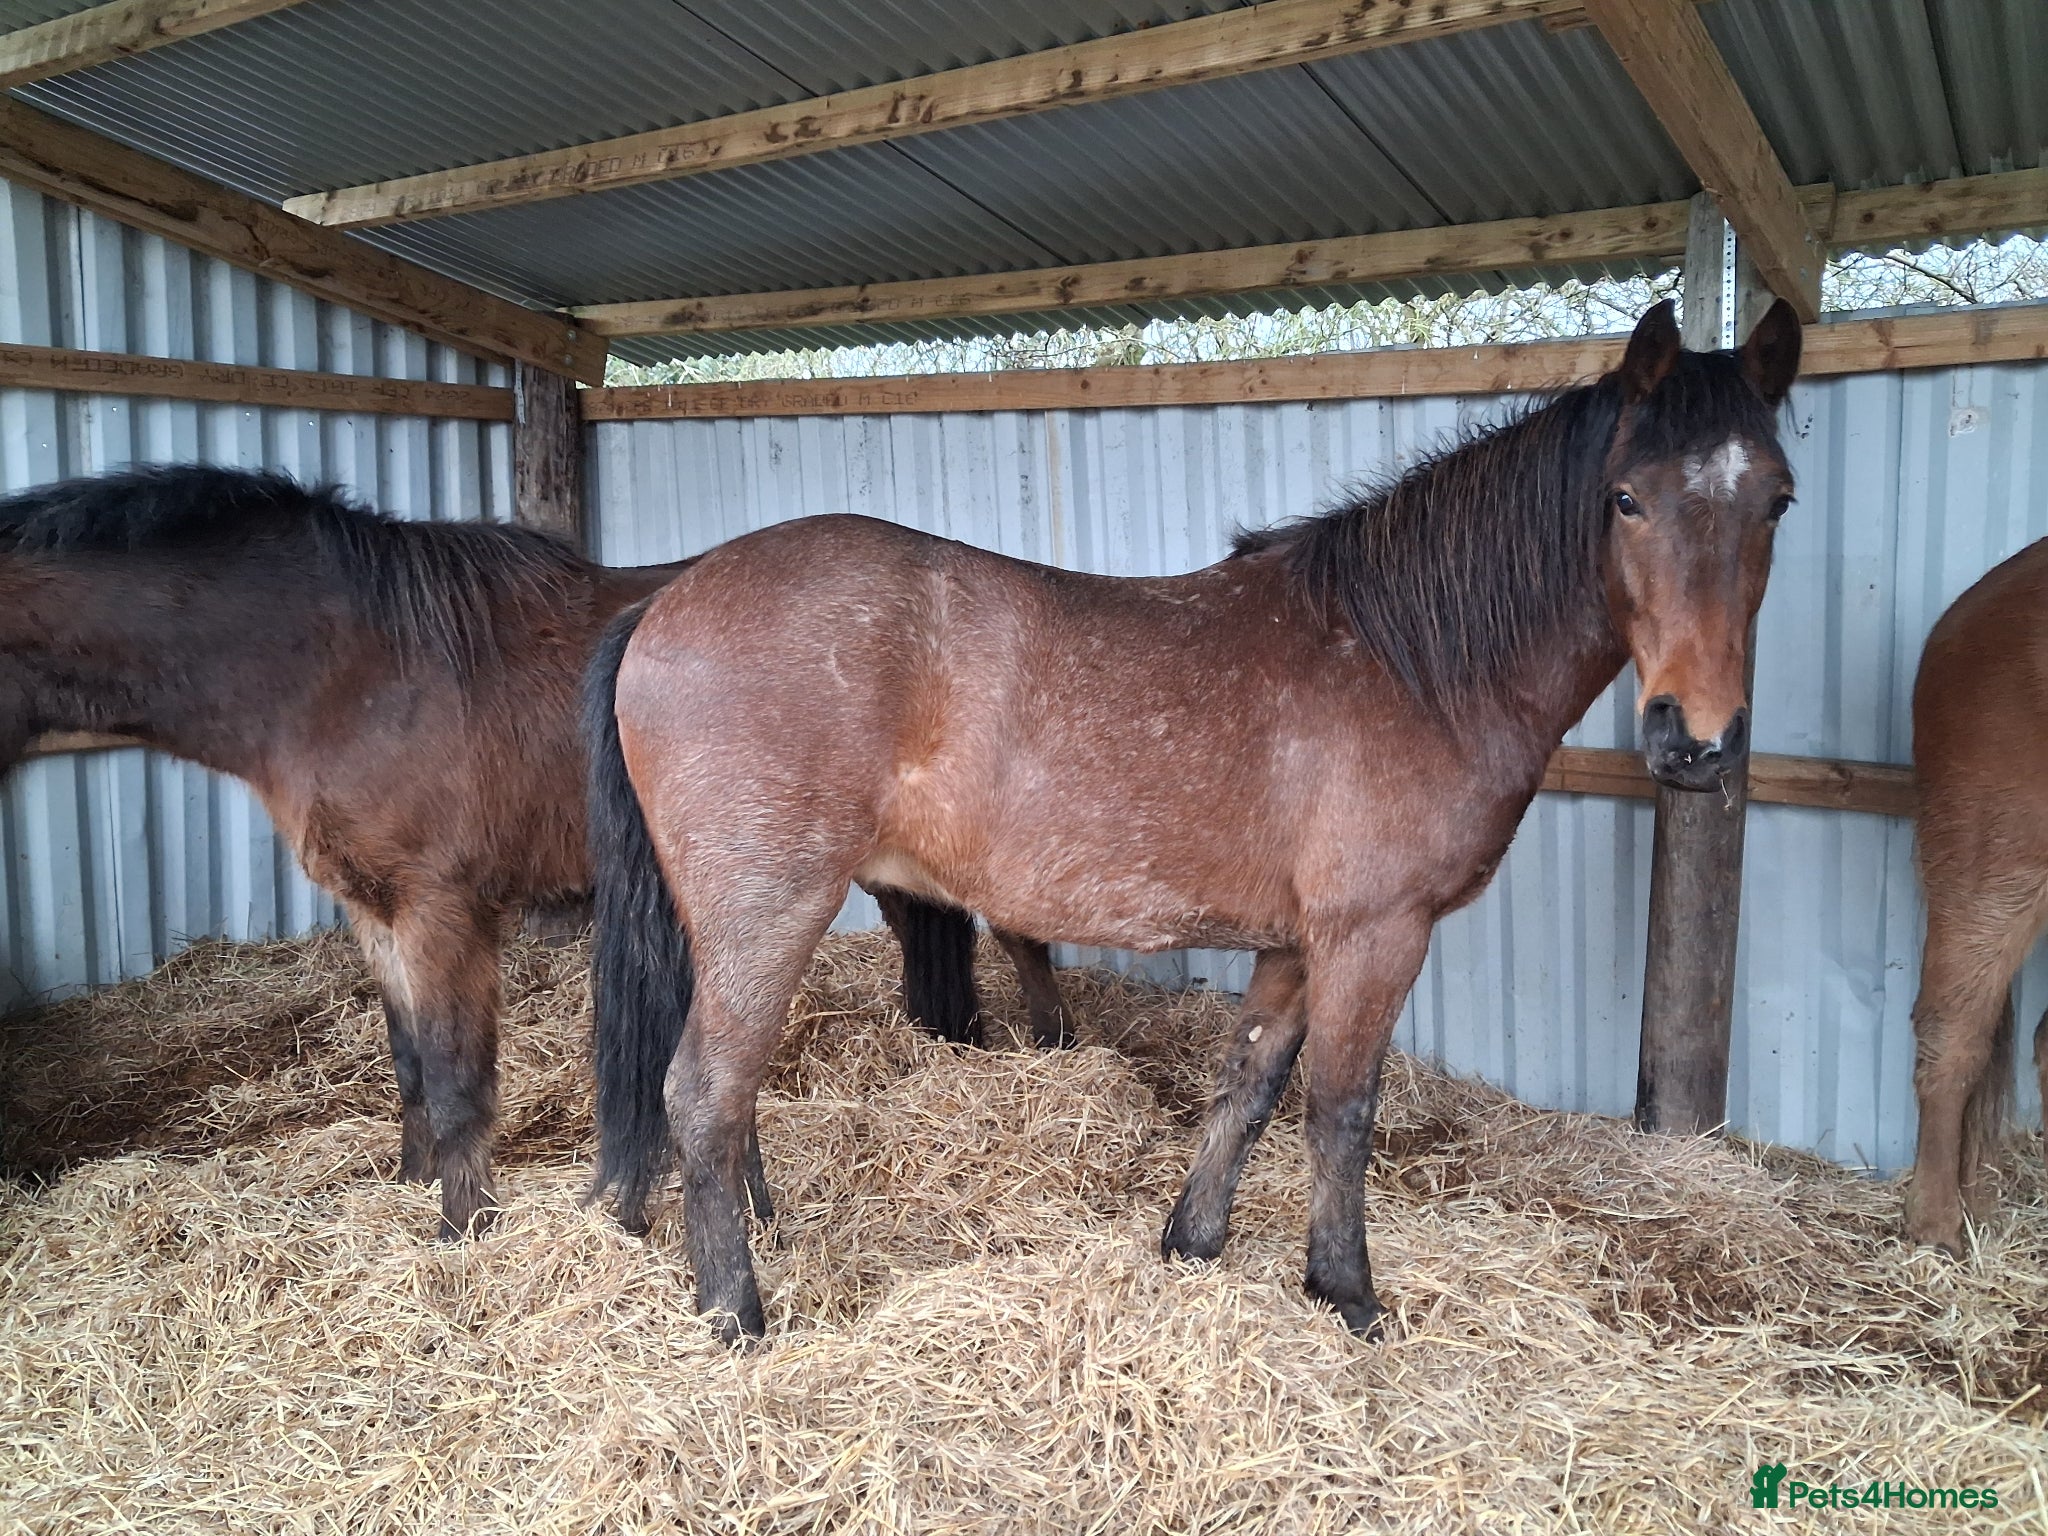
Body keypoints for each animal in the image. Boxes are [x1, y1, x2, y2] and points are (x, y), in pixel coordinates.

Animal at [0, 465, 1066, 1240]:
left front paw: (462, 1231)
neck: (343, 668)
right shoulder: (374, 910)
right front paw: (411, 1188)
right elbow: (409, 1065)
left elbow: (457, 1081)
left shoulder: (441, 908)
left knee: (1022, 942)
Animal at [583, 298, 1804, 1342]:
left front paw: (1193, 1243)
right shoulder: (1375, 934)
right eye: (1626, 499)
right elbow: (1340, 1111)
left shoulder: (1296, 945)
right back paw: (736, 1313)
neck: (1404, 662)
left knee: (723, 1094)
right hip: (768, 909)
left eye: (1778, 501)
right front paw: (1348, 1295)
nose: (1695, 740)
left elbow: (1250, 1087)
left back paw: (764, 1236)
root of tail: (666, 601)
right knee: (705, 1093)